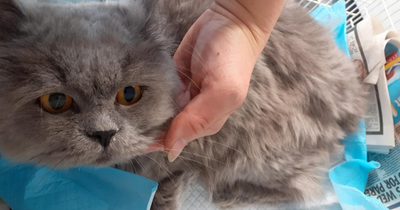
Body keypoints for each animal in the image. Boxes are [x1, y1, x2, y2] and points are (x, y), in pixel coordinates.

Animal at [0, 0, 366, 209]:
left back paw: (231, 197)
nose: (104, 134)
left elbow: (163, 192)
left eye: (129, 94)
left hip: (257, 147)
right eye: (56, 101)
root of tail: (350, 93)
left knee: (304, 185)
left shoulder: (172, 162)